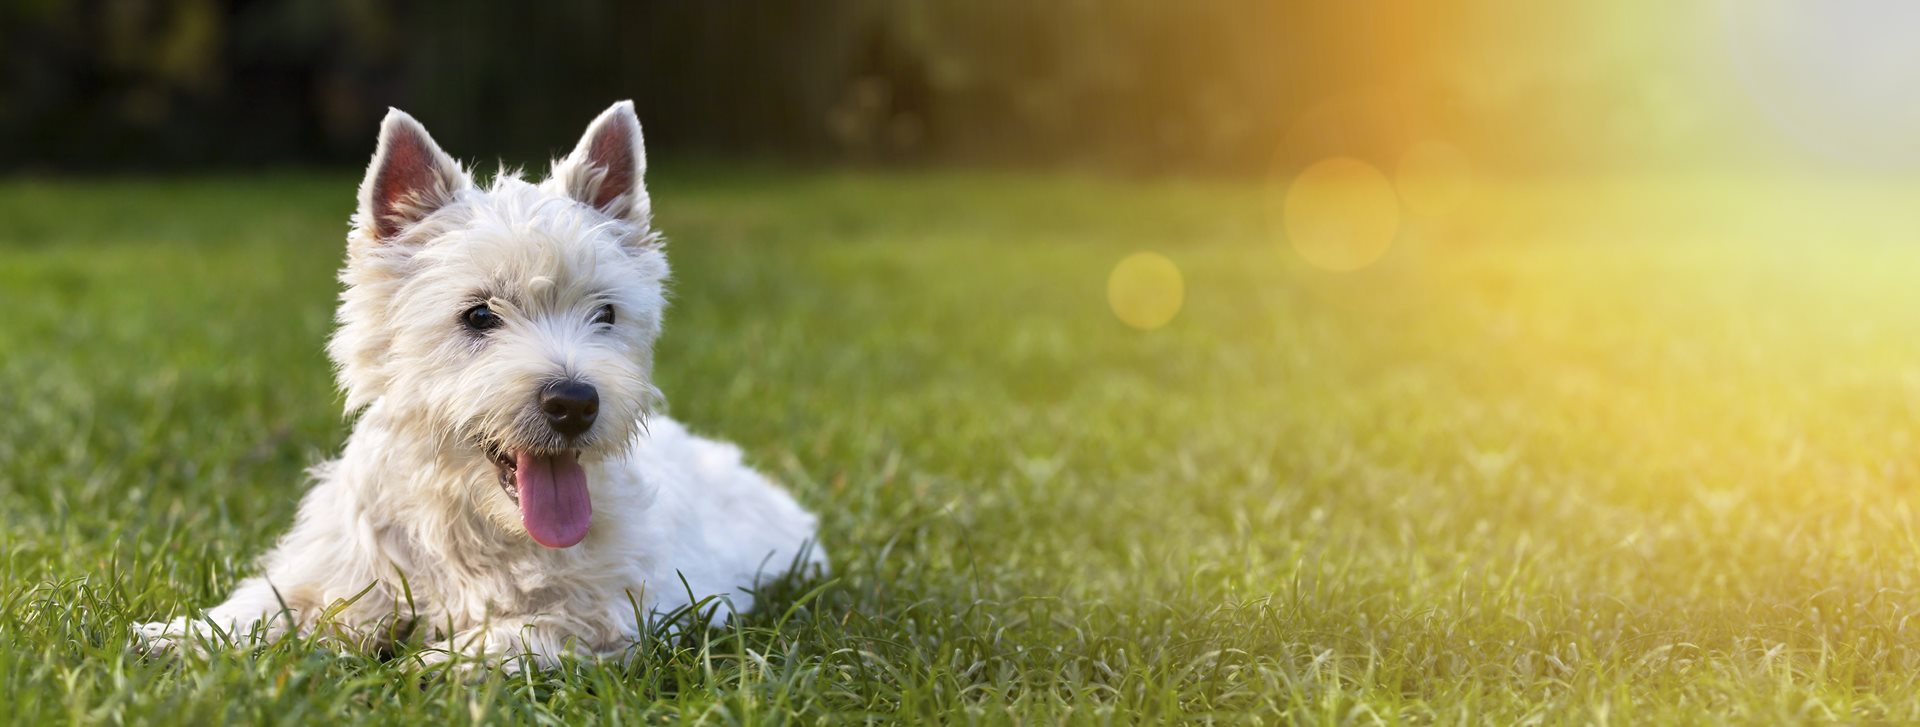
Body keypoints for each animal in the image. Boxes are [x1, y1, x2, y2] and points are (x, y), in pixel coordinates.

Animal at [135, 102, 825, 671]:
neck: (476, 522)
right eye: (478, 315)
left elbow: (511, 634)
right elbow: (266, 606)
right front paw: (169, 636)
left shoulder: (612, 615)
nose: (574, 403)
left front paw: (420, 667)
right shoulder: (340, 573)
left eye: (604, 313)